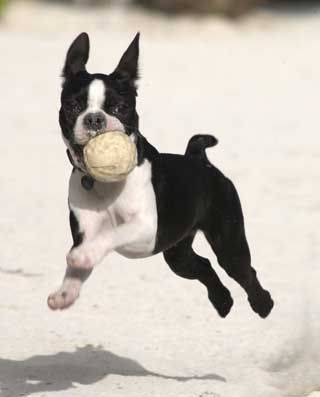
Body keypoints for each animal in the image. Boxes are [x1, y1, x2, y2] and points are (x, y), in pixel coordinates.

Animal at [47, 33, 272, 318]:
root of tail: (199, 159)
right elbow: (77, 269)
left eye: (120, 107)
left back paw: (263, 304)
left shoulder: (145, 227)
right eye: (73, 106)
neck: (105, 184)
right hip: (177, 254)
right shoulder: (85, 231)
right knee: (204, 266)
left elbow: (110, 235)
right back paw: (222, 302)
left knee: (243, 271)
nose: (95, 119)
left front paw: (82, 256)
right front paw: (65, 293)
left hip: (229, 243)